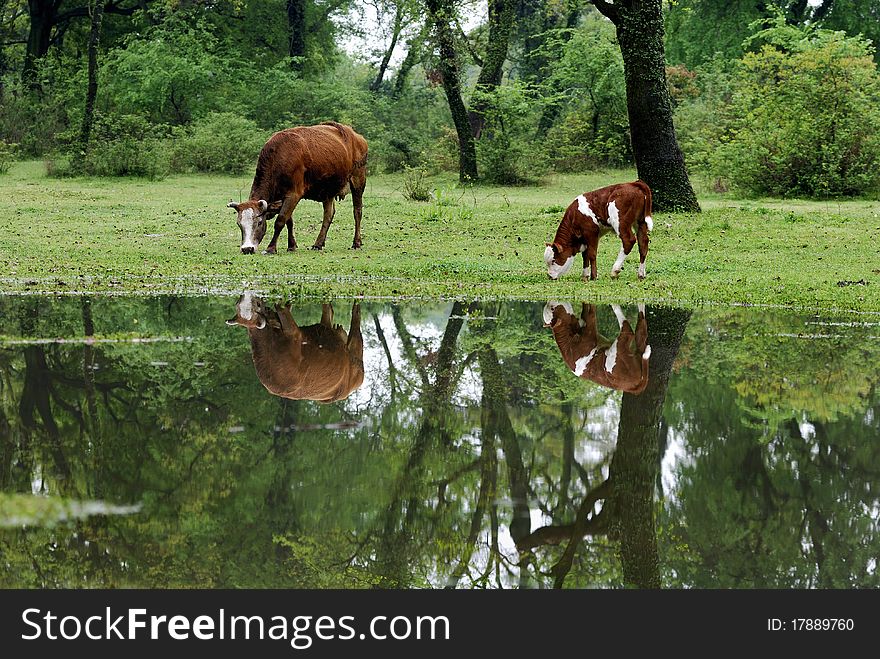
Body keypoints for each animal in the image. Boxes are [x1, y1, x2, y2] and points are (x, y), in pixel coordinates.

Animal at [227, 122, 368, 256]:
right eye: (239, 224)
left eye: (259, 222)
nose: (247, 248)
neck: (279, 156)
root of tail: (357, 137)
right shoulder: (284, 198)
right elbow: (289, 221)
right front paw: (291, 245)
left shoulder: (293, 195)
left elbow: (280, 220)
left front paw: (271, 248)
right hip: (328, 190)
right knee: (328, 214)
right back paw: (318, 243)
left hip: (358, 181)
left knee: (357, 212)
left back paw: (356, 243)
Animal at [229, 292, 366, 404]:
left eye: (256, 304)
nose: (246, 293)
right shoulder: (292, 331)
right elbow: (280, 308)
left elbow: (281, 307)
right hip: (350, 353)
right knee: (340, 314)